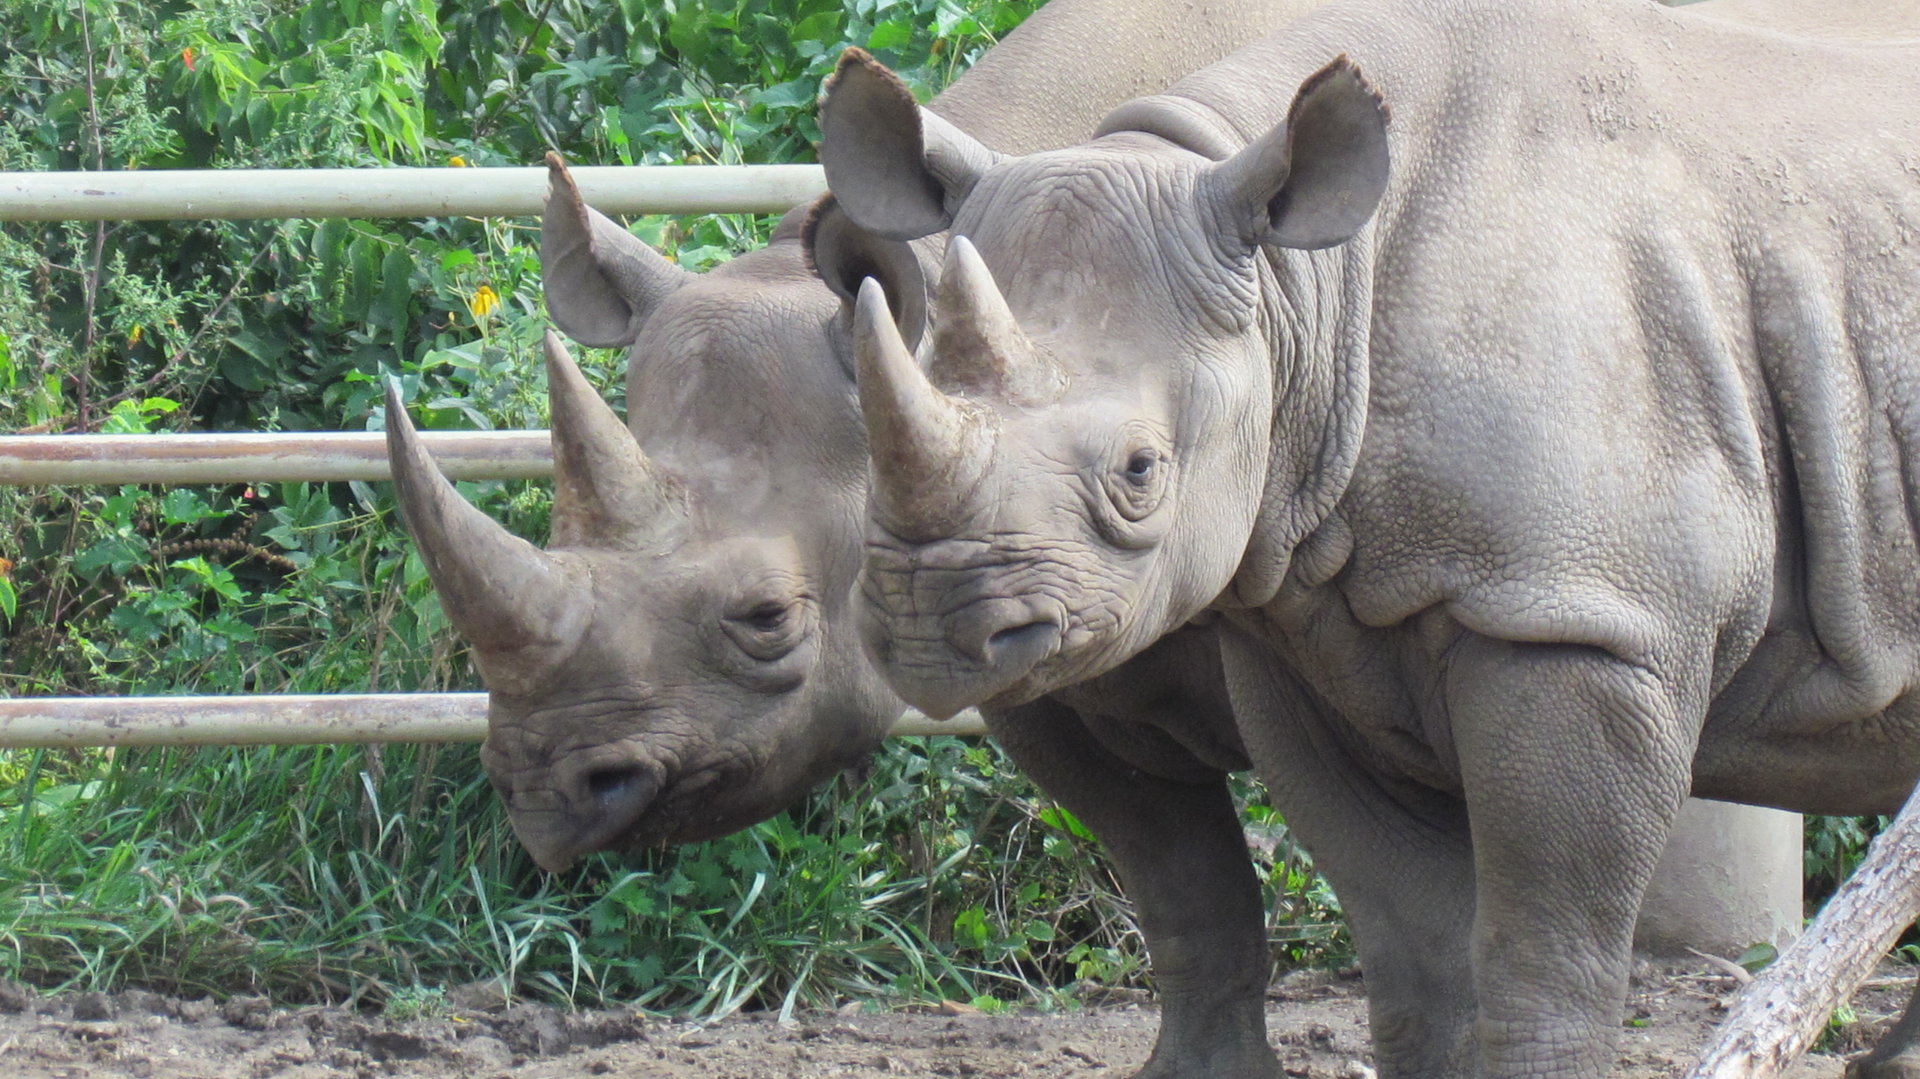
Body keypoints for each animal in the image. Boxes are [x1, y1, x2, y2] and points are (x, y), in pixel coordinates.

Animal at [812, 0, 1920, 1076]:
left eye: (1140, 472)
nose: (927, 630)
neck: (1304, 290)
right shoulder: (1305, 635)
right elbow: (1414, 949)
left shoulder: (1580, 614)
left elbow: (1546, 953)